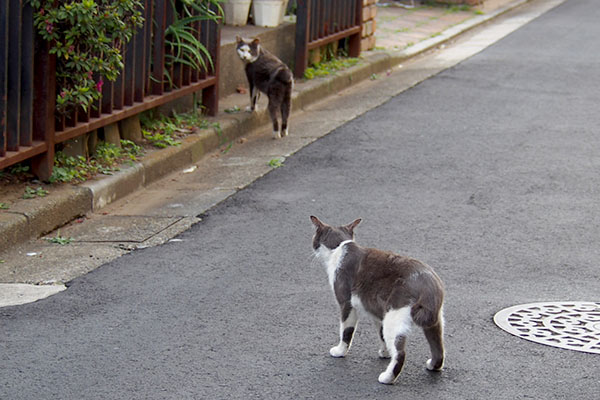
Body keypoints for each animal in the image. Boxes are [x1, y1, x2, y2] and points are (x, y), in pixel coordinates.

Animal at [310, 217, 446, 386]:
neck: (340, 248)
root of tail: (430, 285)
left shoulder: (346, 303)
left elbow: (346, 331)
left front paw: (340, 351)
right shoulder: (377, 312)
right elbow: (381, 334)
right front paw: (385, 353)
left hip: (395, 316)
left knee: (401, 353)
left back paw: (387, 378)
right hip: (434, 321)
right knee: (438, 347)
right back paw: (433, 366)